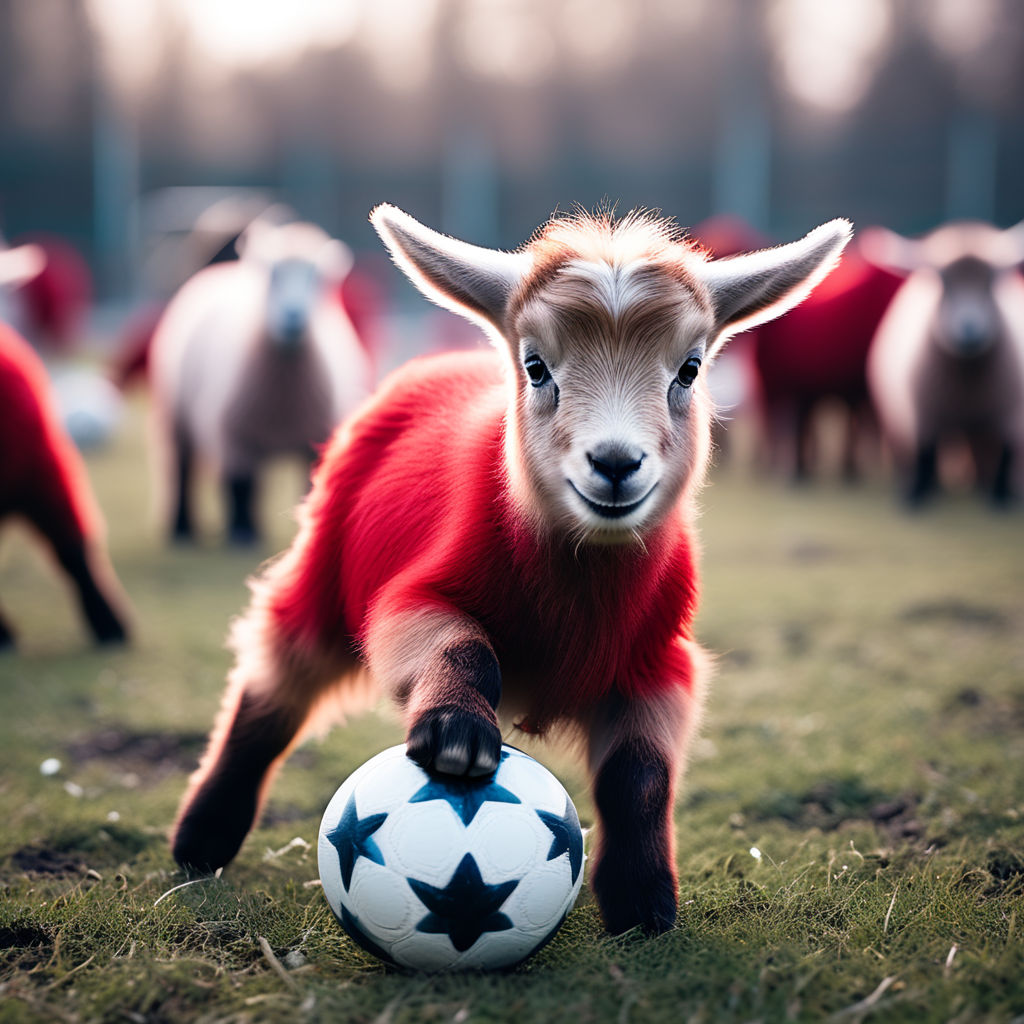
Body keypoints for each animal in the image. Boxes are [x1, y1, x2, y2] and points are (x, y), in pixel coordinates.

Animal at [174, 203, 847, 933]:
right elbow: (461, 647)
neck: (578, 573)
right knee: (273, 684)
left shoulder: (659, 663)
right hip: (322, 573)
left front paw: (642, 901)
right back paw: (204, 836)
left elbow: (639, 778)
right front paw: (456, 733)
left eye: (690, 370)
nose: (615, 463)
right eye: (536, 366)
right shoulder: (410, 596)